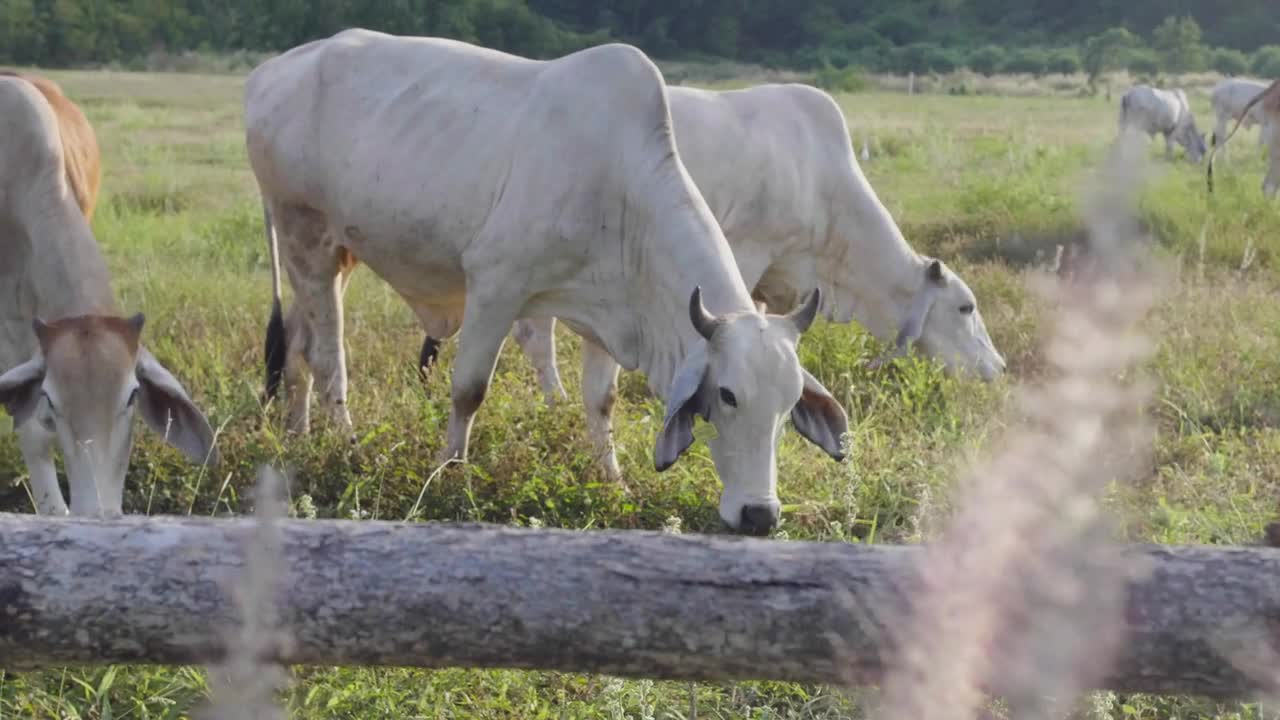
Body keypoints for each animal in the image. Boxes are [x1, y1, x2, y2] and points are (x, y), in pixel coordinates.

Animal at [247, 29, 849, 532]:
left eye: (790, 403)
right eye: (727, 395)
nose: (760, 515)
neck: (618, 185)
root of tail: (275, 69)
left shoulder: (611, 312)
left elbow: (602, 402)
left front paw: (614, 483)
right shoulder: (495, 285)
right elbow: (469, 391)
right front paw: (451, 477)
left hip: (334, 253)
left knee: (298, 347)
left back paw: (296, 437)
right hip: (305, 236)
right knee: (327, 357)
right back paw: (346, 446)